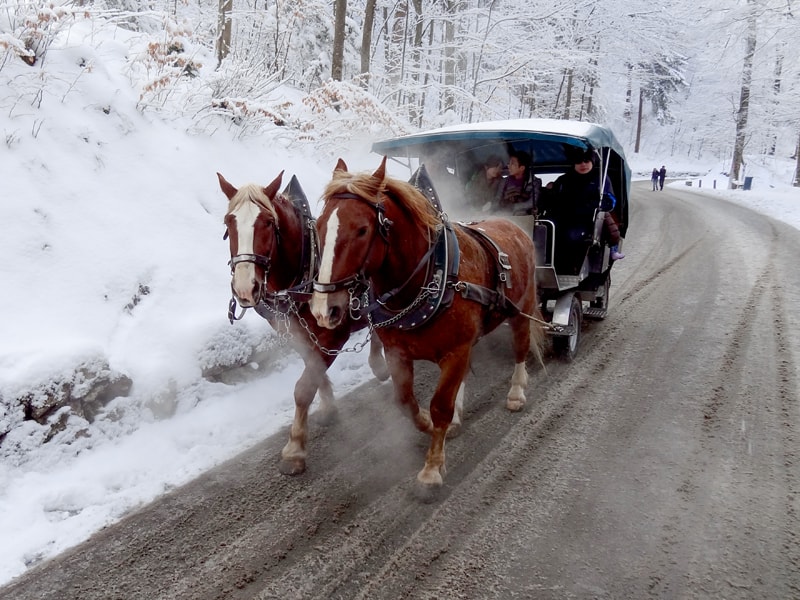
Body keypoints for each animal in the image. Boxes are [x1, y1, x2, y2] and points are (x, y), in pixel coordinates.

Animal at [216, 171, 390, 476]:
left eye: (268, 222)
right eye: (229, 222)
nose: (245, 288)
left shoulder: (334, 335)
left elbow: (303, 387)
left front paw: (295, 448)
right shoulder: (296, 334)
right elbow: (313, 371)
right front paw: (329, 408)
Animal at [306, 158, 544, 496]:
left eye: (362, 230)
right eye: (319, 227)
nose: (324, 309)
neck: (430, 279)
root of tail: (510, 223)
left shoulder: (455, 351)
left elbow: (440, 405)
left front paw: (431, 469)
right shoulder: (398, 353)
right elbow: (406, 402)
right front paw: (430, 427)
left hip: (522, 310)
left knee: (521, 347)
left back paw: (516, 392)